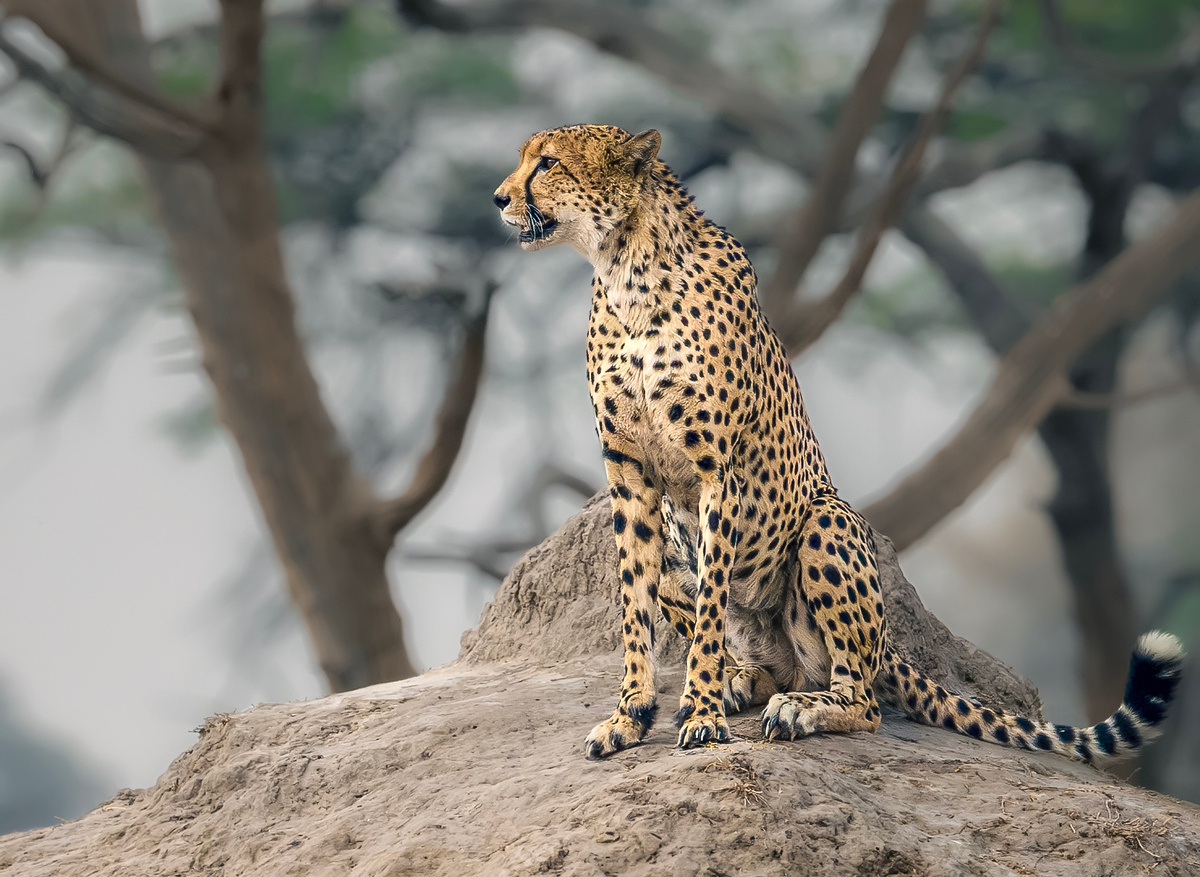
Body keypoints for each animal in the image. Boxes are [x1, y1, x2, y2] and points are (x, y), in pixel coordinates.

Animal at [493, 123, 1185, 763]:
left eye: (547, 163)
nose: (498, 198)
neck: (624, 268)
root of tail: (887, 647)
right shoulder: (629, 474)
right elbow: (634, 604)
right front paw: (632, 716)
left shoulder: (719, 472)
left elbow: (711, 607)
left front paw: (700, 714)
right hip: (681, 540)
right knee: (759, 661)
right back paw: (743, 681)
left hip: (827, 522)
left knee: (864, 700)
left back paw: (795, 708)